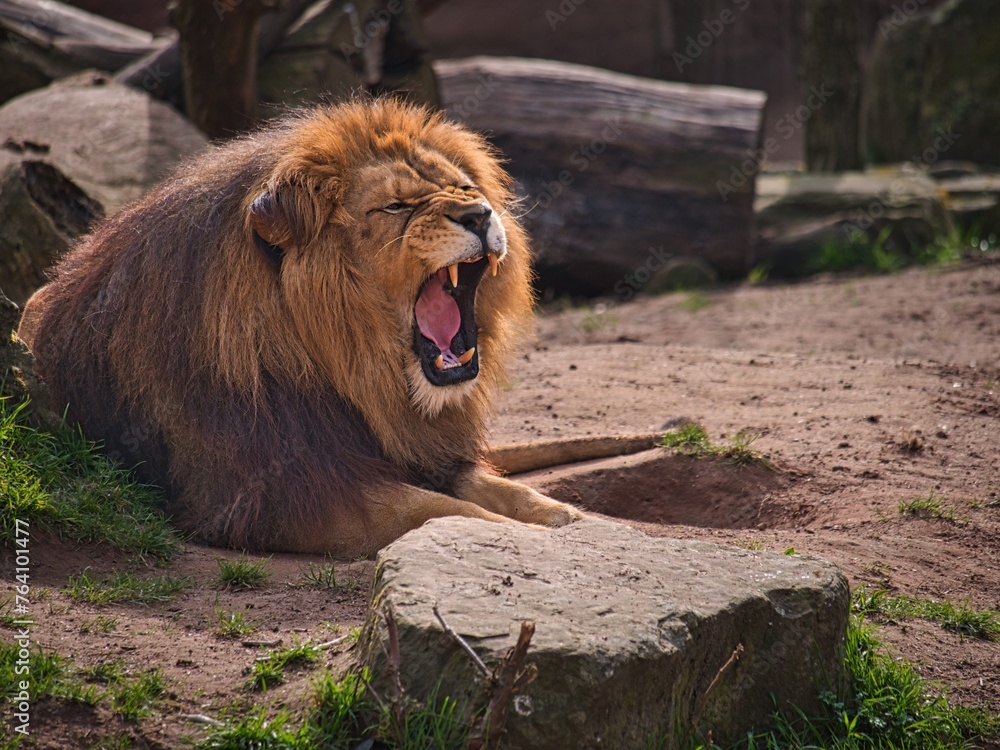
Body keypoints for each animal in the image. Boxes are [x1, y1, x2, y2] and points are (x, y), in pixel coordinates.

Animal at [18, 99, 584, 558]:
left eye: (466, 188)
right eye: (396, 206)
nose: (479, 214)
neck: (360, 376)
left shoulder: (424, 453)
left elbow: (505, 491)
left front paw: (571, 519)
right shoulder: (280, 492)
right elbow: (442, 511)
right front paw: (535, 538)